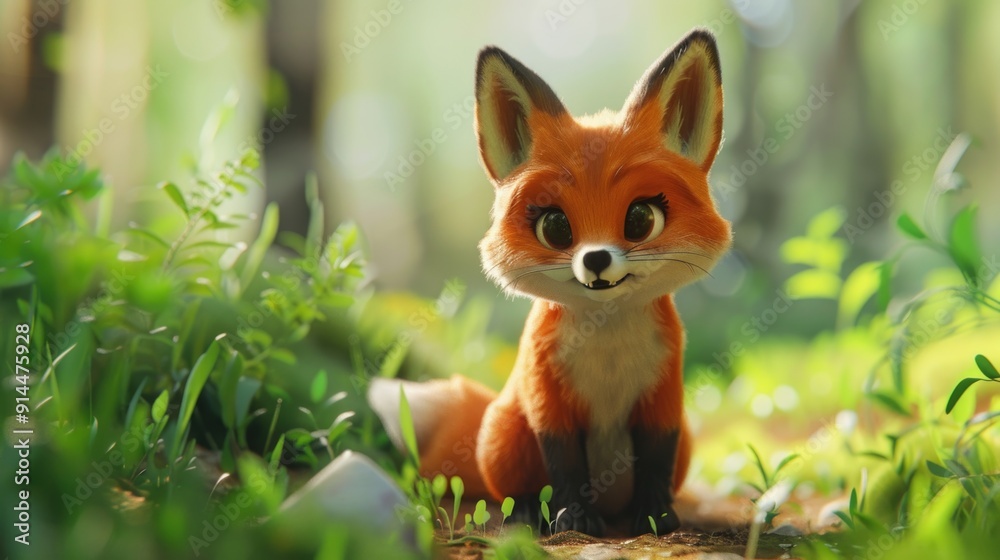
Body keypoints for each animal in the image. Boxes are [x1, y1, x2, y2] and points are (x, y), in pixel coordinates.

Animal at [369, 29, 731, 537]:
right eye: (555, 227)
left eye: (641, 219)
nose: (596, 259)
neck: (607, 347)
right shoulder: (549, 401)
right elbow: (566, 467)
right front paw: (573, 521)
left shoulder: (662, 399)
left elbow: (656, 463)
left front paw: (655, 517)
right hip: (504, 433)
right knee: (509, 489)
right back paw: (526, 511)